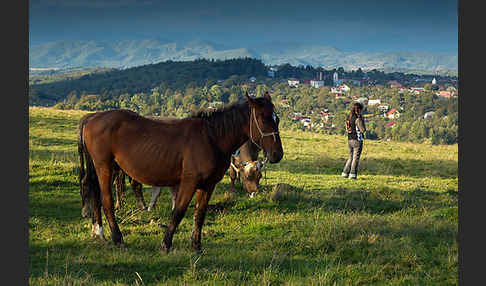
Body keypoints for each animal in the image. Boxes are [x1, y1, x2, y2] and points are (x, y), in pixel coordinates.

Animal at [78, 92, 282, 251]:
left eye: (277, 119)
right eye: (264, 118)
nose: (277, 154)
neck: (211, 137)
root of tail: (92, 118)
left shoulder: (208, 185)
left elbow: (200, 214)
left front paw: (196, 246)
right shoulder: (189, 182)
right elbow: (178, 212)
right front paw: (166, 244)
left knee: (95, 195)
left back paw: (98, 231)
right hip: (105, 167)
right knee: (106, 201)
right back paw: (117, 237)